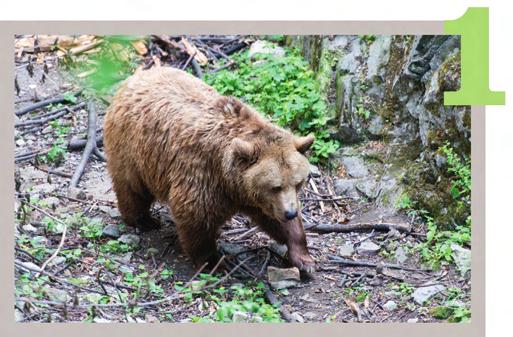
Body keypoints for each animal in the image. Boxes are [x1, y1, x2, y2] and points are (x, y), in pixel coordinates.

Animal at [102, 67, 314, 272]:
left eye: (298, 183)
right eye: (275, 186)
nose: (290, 213)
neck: (229, 180)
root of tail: (135, 77)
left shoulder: (253, 196)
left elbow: (275, 219)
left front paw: (303, 257)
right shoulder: (203, 172)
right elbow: (195, 215)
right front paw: (213, 262)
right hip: (133, 147)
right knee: (132, 187)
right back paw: (143, 220)